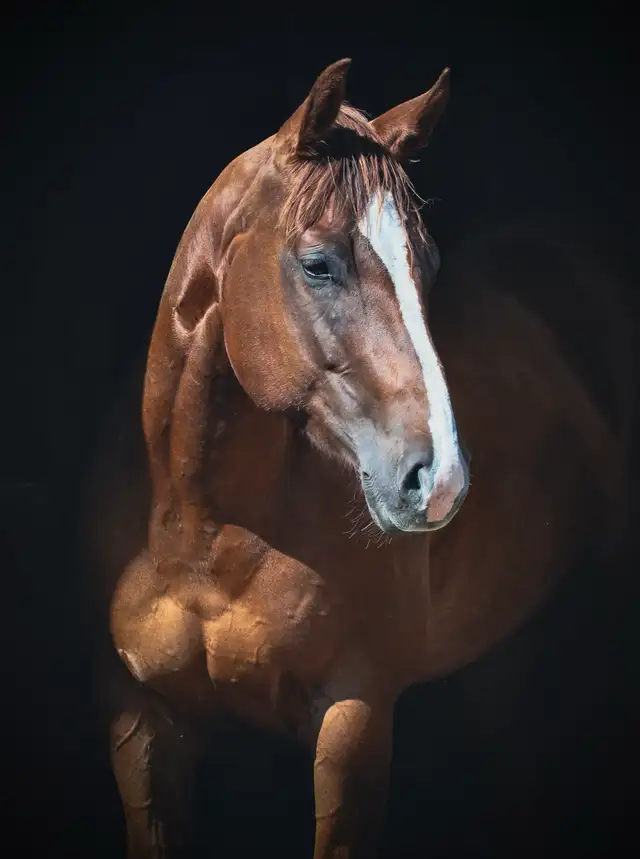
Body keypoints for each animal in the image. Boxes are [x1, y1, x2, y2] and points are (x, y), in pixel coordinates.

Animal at [82, 59, 629, 858]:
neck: (202, 532)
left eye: (426, 264)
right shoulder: (143, 726)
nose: (441, 480)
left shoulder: (355, 719)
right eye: (317, 264)